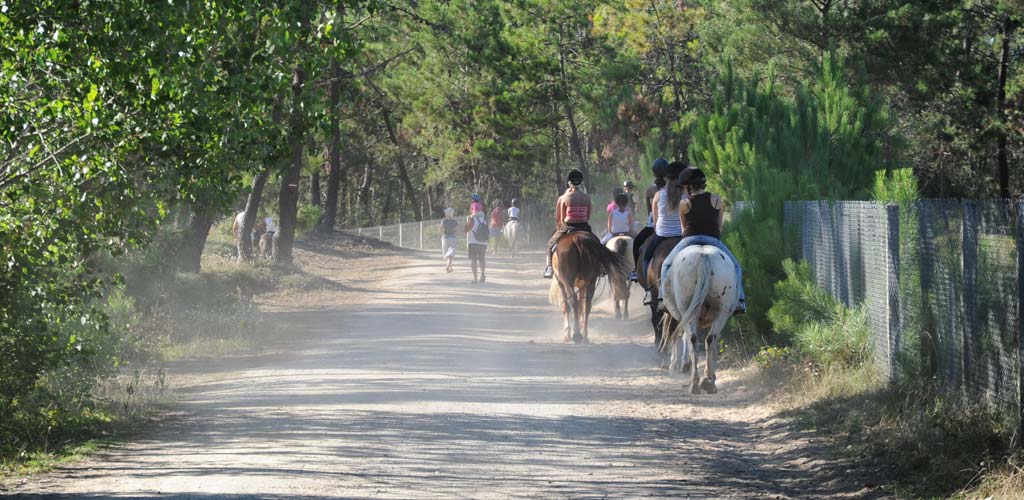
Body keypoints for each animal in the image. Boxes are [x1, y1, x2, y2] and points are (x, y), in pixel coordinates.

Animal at [659, 244, 741, 395]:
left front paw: (678, 364)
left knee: (694, 339)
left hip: (688, 310)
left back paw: (696, 382)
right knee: (709, 339)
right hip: (721, 312)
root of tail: (704, 256)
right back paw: (707, 381)